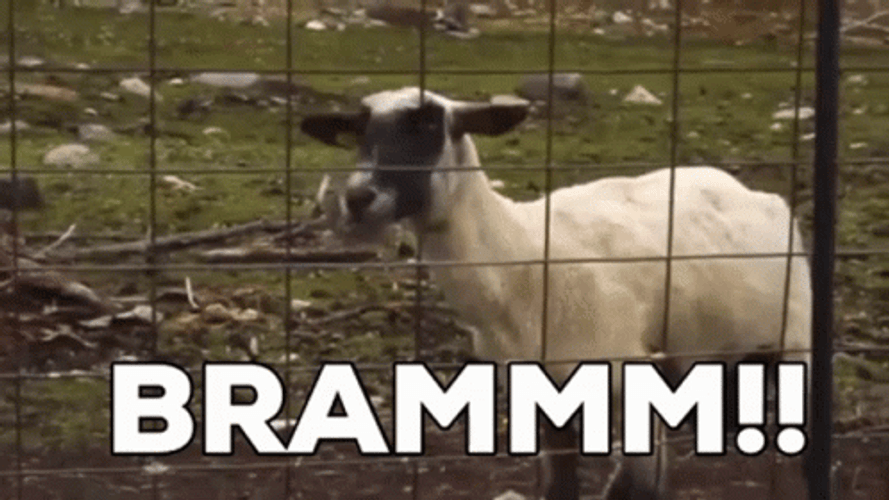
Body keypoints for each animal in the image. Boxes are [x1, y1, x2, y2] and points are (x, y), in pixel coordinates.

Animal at [301, 87, 812, 500]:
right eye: (359, 133)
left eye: (428, 126)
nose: (358, 198)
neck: (520, 260)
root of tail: (756, 193)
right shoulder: (542, 385)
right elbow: (561, 487)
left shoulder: (623, 370)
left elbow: (632, 489)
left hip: (793, 338)